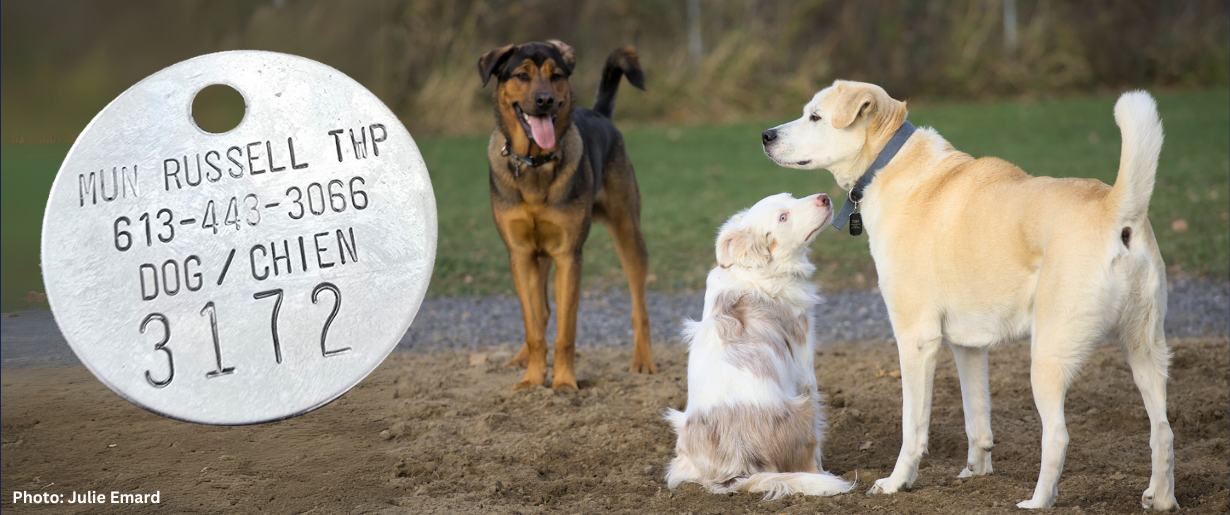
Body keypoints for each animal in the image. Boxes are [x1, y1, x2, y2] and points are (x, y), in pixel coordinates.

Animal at [477, 40, 654, 390]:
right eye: (521, 75)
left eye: (556, 76)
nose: (544, 100)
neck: (535, 163)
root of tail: (600, 113)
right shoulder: (521, 254)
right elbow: (533, 325)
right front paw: (533, 380)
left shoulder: (569, 256)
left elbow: (566, 331)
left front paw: (564, 384)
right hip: (539, 256)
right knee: (541, 311)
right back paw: (520, 359)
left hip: (629, 234)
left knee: (639, 308)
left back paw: (643, 361)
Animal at [664, 191, 856, 499]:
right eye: (783, 217)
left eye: (791, 196)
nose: (824, 197)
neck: (755, 271)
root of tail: (736, 470)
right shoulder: (806, 370)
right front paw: (822, 470)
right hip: (802, 408)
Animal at [762, 81, 1175, 511]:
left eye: (815, 117)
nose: (765, 136)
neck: (891, 165)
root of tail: (1116, 210)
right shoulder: (969, 346)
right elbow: (976, 417)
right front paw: (976, 474)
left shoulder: (917, 340)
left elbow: (913, 426)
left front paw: (896, 483)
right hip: (1144, 350)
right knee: (1162, 430)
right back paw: (1160, 499)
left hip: (1048, 355)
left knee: (1058, 436)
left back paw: (1037, 501)